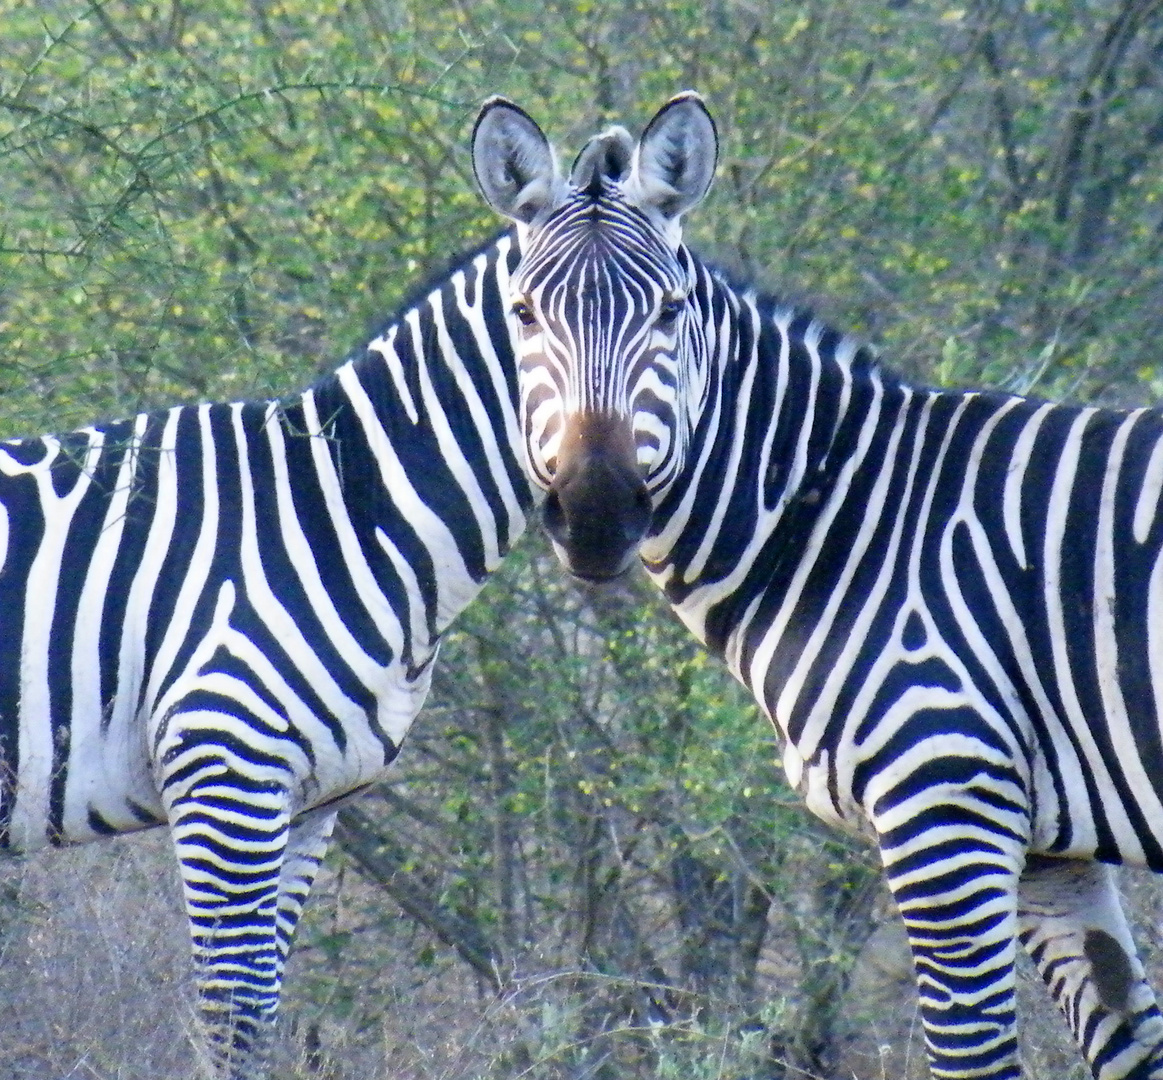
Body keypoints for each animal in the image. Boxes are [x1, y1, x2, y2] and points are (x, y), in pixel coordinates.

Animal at [467, 94, 1163, 1078]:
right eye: (524, 313)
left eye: (670, 311)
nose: (596, 511)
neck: (848, 514)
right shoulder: (1048, 852)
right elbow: (1127, 1042)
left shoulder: (944, 804)